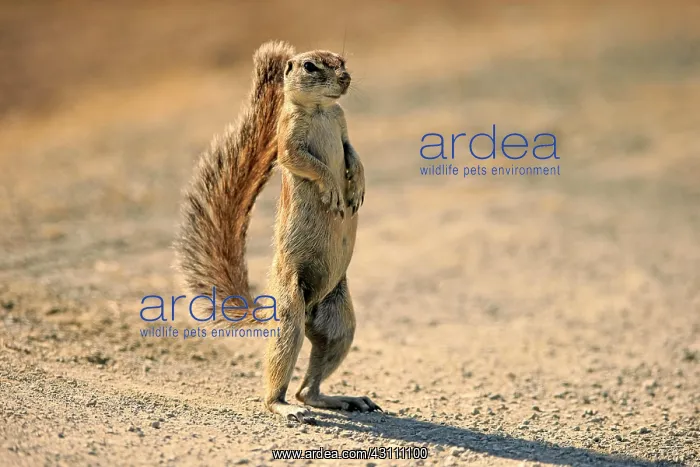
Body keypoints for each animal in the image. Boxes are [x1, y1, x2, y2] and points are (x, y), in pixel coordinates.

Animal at [175, 41, 380, 424]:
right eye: (311, 66)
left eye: (342, 61)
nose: (345, 78)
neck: (321, 111)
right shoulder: (288, 141)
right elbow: (305, 162)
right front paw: (334, 189)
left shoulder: (343, 128)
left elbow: (353, 153)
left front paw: (357, 186)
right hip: (290, 315)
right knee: (283, 382)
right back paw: (285, 407)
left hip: (339, 327)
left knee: (309, 389)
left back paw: (343, 399)